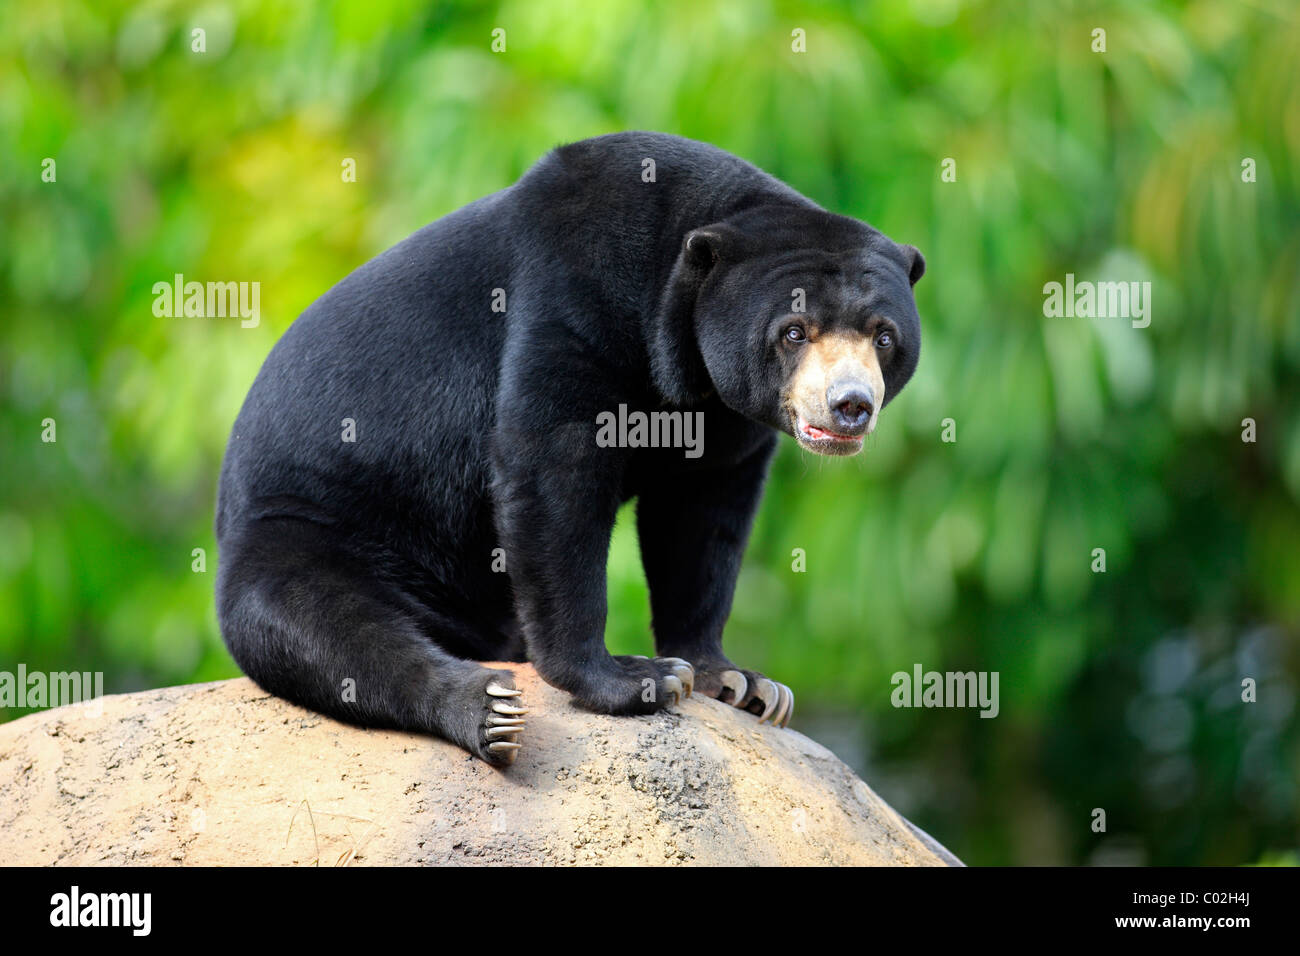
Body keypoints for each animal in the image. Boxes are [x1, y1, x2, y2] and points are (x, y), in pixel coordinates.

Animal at [213, 132, 925, 770]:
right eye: (794, 331)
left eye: (884, 336)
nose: (849, 405)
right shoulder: (575, 294)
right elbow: (554, 468)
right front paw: (638, 678)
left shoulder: (722, 414)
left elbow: (702, 517)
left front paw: (741, 682)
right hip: (310, 525)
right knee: (326, 628)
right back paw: (487, 710)